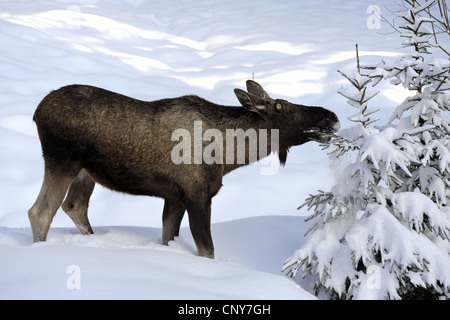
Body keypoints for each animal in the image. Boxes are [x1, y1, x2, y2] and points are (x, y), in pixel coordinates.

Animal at [29, 80, 338, 258]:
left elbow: (168, 237)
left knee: (74, 206)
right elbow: (207, 251)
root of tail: (36, 111)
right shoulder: (197, 195)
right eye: (283, 107)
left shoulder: (174, 197)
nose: (331, 115)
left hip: (85, 172)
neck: (230, 156)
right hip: (62, 160)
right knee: (40, 212)